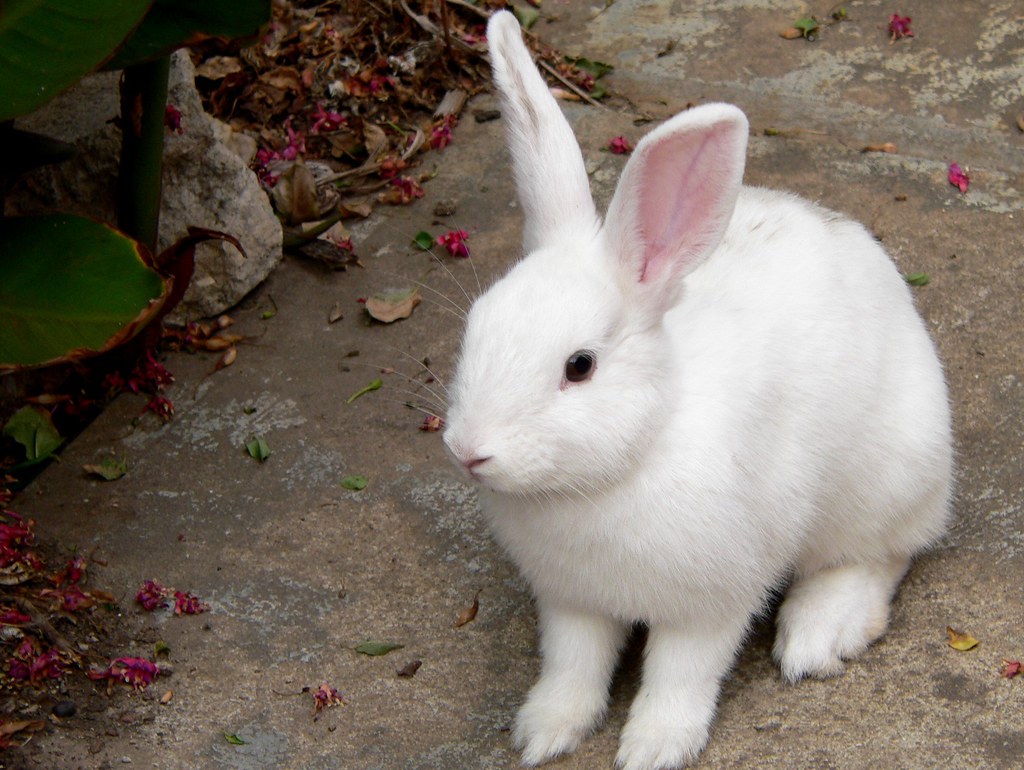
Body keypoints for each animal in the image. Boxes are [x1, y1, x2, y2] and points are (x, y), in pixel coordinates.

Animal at [442, 10, 953, 770]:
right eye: (474, 328)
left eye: (580, 366)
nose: (469, 450)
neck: (623, 465)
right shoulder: (571, 604)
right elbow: (572, 666)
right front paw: (545, 733)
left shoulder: (709, 604)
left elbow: (680, 677)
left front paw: (653, 748)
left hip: (886, 480)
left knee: (879, 556)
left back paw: (818, 634)